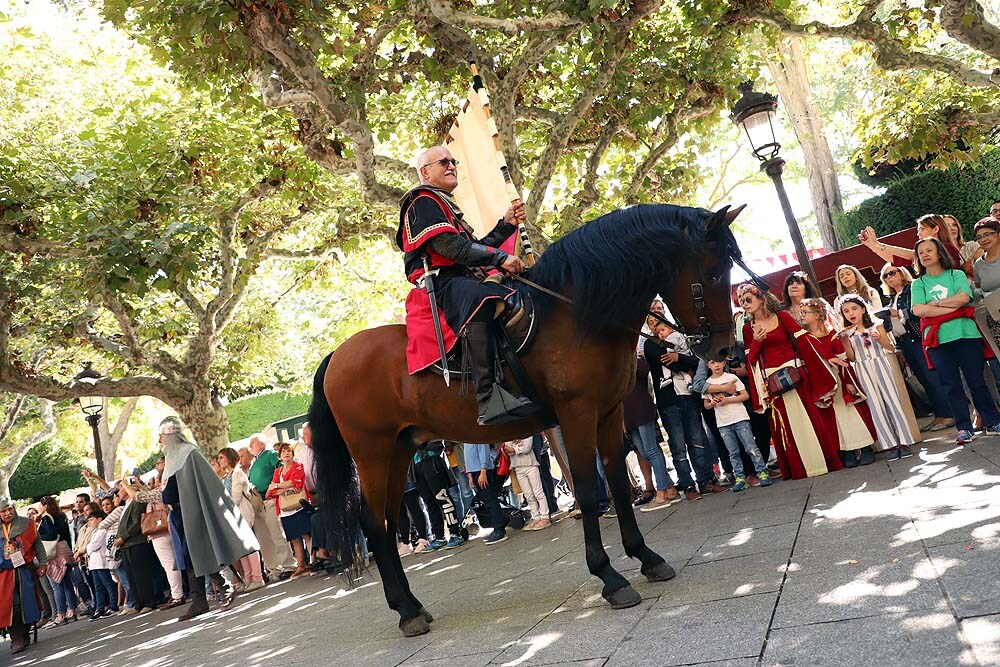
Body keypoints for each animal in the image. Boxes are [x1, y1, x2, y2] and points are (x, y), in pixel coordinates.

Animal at [310, 202, 744, 636]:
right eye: (714, 272)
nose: (726, 349)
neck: (576, 315)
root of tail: (337, 356)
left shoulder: (609, 413)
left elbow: (619, 483)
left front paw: (646, 557)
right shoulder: (577, 413)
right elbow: (589, 489)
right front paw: (609, 577)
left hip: (399, 450)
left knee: (384, 521)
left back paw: (411, 605)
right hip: (373, 452)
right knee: (374, 524)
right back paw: (405, 610)